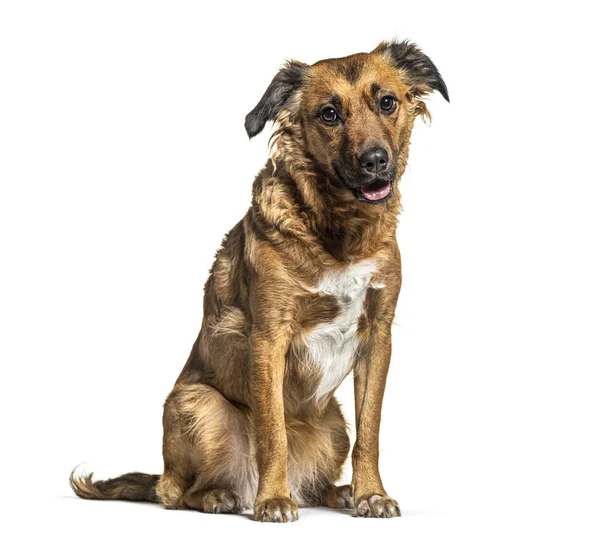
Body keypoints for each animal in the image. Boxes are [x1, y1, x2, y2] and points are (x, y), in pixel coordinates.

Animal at [70, 39, 448, 524]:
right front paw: (273, 499)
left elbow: (372, 432)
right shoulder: (268, 336)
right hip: (197, 406)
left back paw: (338, 492)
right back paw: (224, 496)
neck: (339, 232)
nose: (376, 161)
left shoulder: (378, 338)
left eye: (387, 102)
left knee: (318, 480)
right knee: (177, 492)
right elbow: (272, 432)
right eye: (329, 113)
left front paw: (370, 494)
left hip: (333, 425)